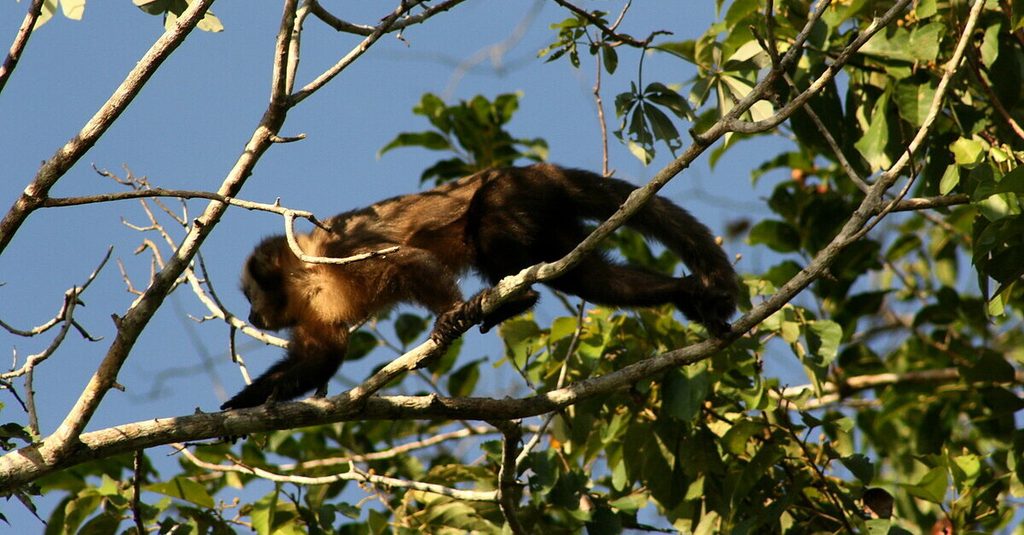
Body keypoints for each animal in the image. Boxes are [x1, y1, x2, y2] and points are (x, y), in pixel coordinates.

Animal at [220, 163, 738, 410]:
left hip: (517, 196)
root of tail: (537, 170)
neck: (310, 279)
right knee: (587, 277)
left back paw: (515, 298)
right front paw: (235, 411)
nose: (251, 316)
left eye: (251, 296)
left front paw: (450, 315)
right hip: (548, 215)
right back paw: (685, 293)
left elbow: (409, 262)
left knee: (490, 228)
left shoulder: (342, 246)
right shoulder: (313, 312)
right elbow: (320, 358)